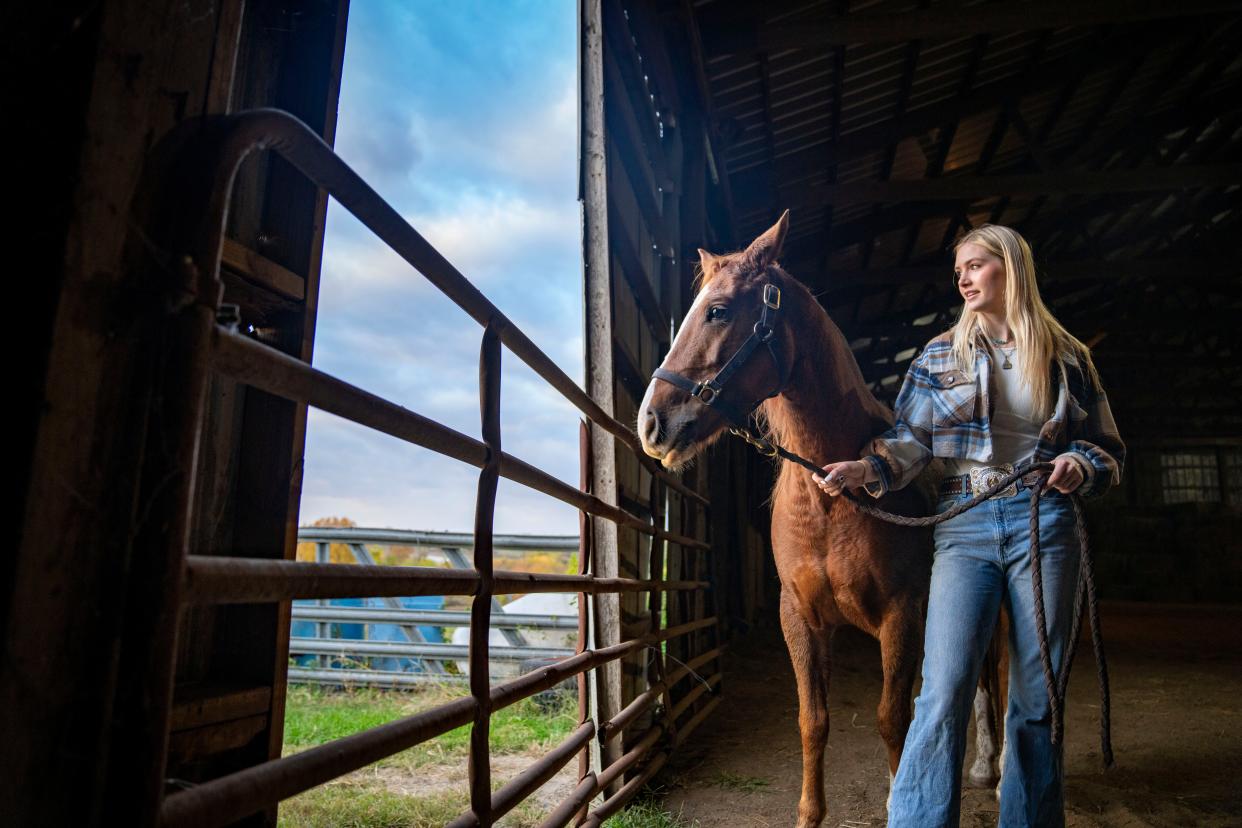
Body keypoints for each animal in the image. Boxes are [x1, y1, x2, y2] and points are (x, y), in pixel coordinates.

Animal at [640, 215, 998, 828]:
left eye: (718, 311)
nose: (651, 423)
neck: (831, 496)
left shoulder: (902, 615)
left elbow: (892, 718)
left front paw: (897, 796)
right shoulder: (801, 618)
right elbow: (813, 720)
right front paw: (810, 813)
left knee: (996, 678)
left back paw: (995, 770)